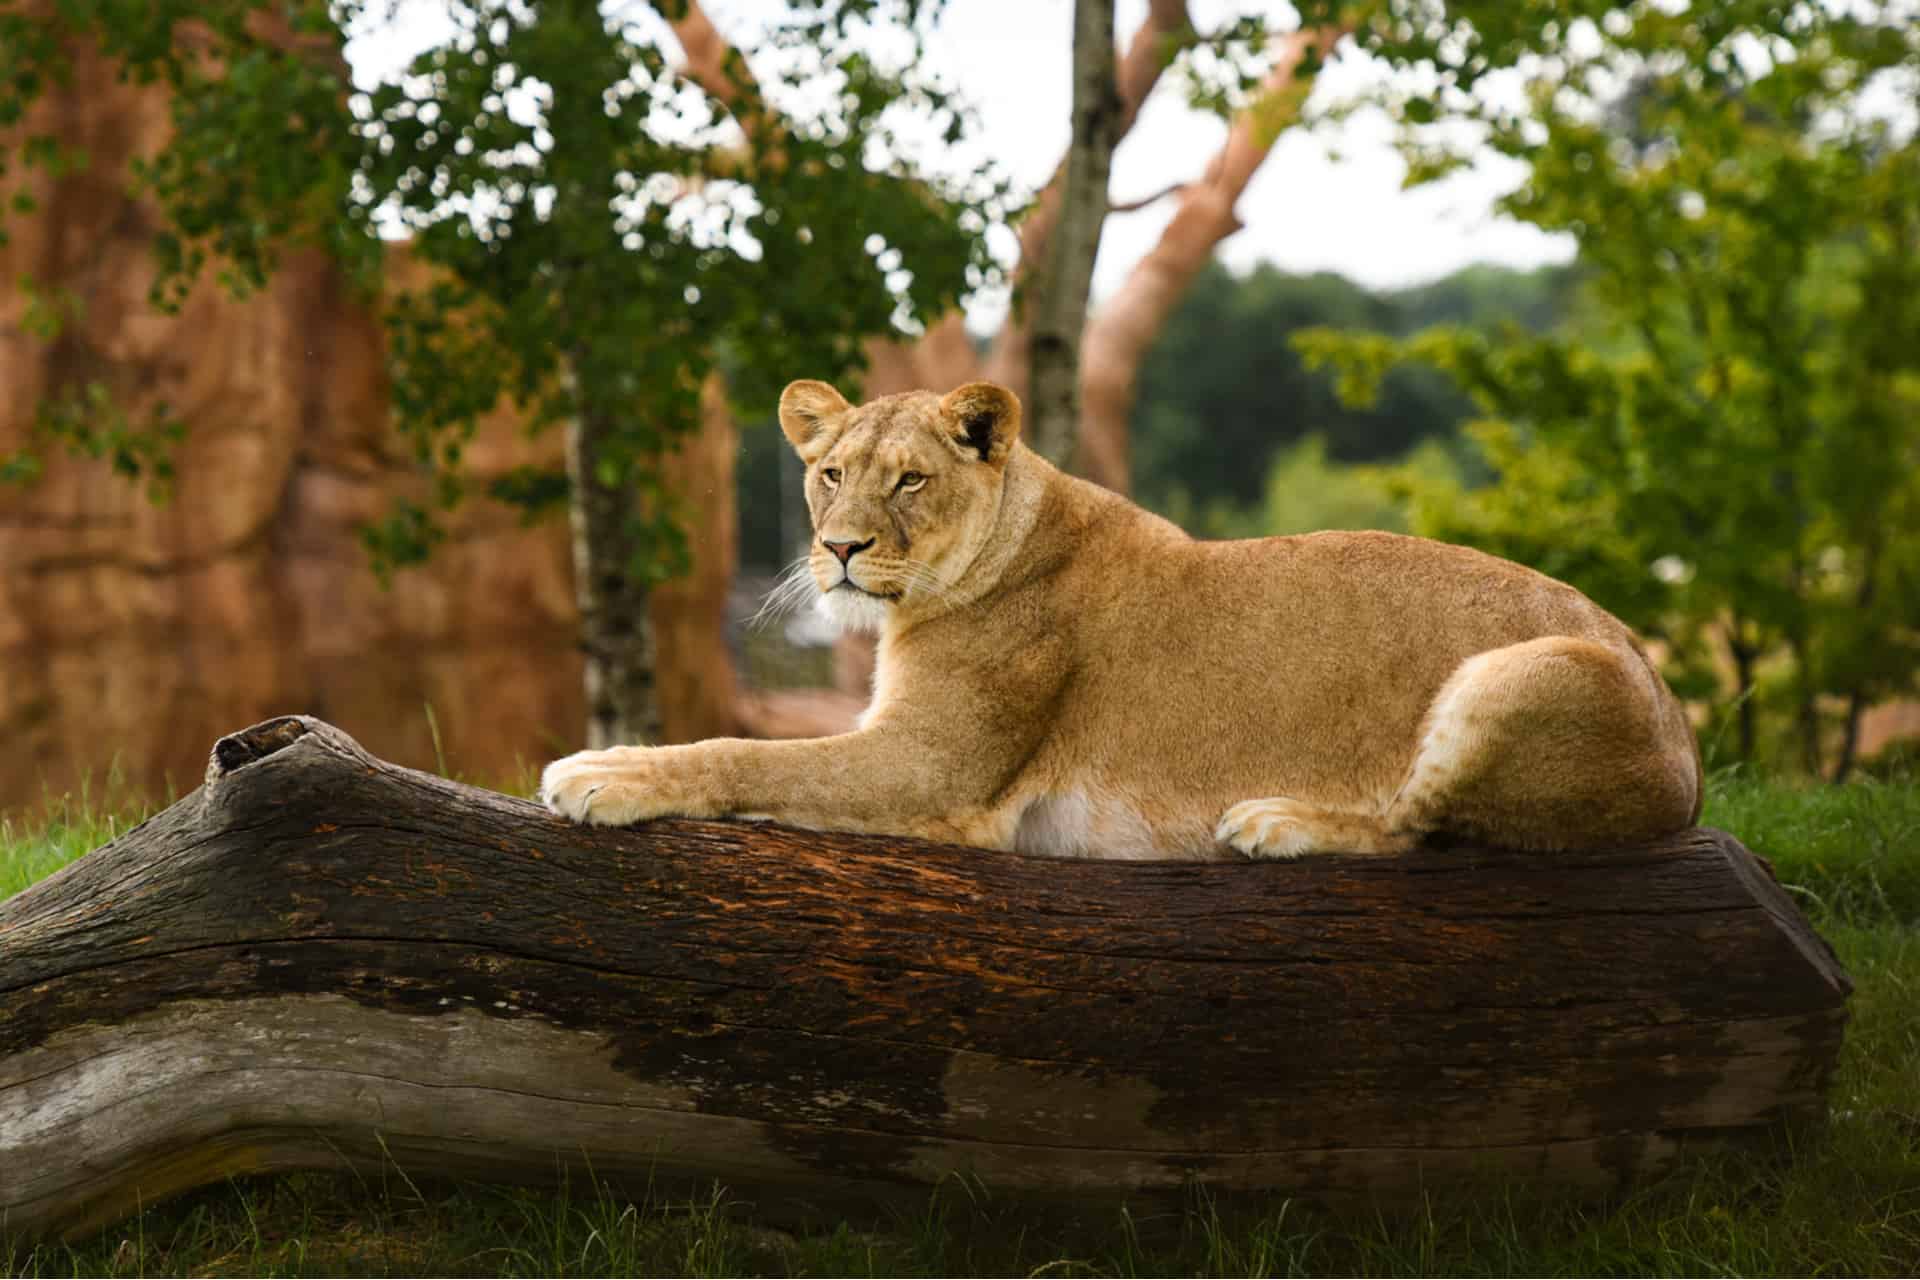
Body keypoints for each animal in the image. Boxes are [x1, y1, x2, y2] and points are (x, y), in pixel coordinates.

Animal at [541, 379, 1701, 858]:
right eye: (829, 474)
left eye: (910, 480)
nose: (840, 550)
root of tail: (1689, 763)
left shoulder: (935, 769)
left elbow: (749, 753)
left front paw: (606, 770)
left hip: (1523, 669)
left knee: (1421, 828)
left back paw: (1276, 822)